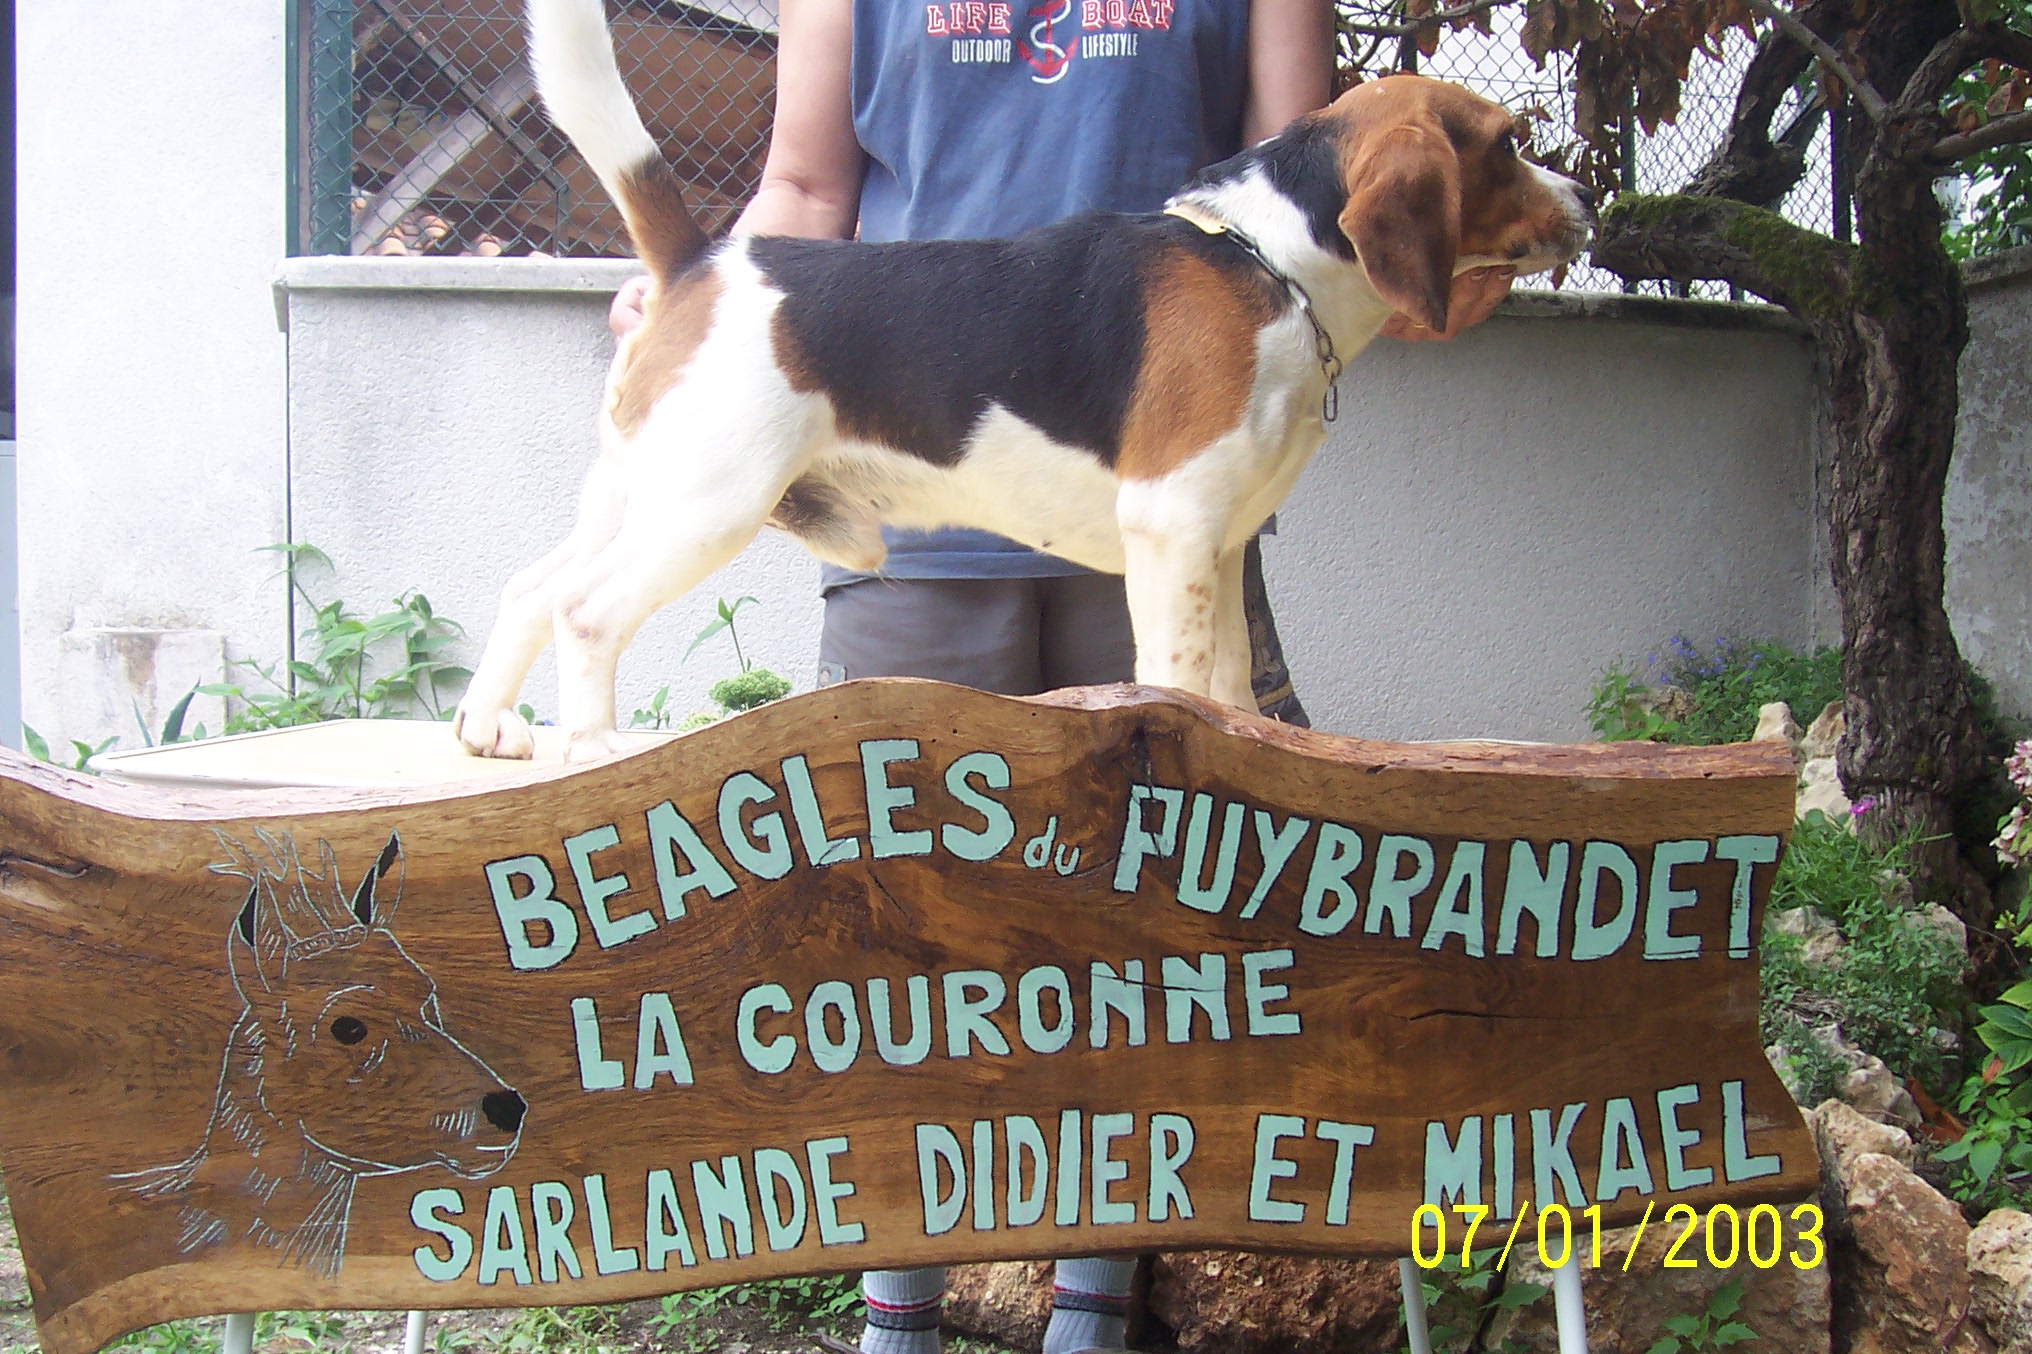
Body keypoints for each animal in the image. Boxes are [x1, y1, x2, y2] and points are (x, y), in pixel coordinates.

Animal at [453, 0, 1593, 760]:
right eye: (1510, 145)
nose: (1587, 201)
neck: (1271, 259)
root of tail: (700, 257)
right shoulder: (1172, 526)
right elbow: (1178, 681)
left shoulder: (1220, 545)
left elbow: (1228, 686)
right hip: (708, 503)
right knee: (586, 613)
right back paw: (594, 755)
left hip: (640, 490)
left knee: (528, 588)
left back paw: (487, 729)